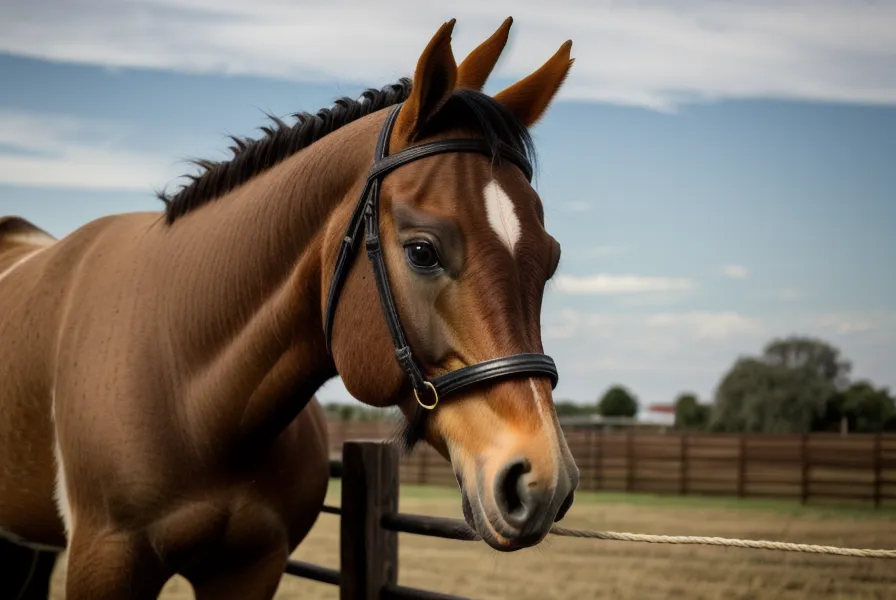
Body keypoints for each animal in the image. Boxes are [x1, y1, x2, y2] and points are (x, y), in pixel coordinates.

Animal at [0, 17, 580, 599]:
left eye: (550, 260)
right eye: (422, 251)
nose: (542, 482)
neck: (192, 396)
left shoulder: (252, 568)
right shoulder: (105, 562)